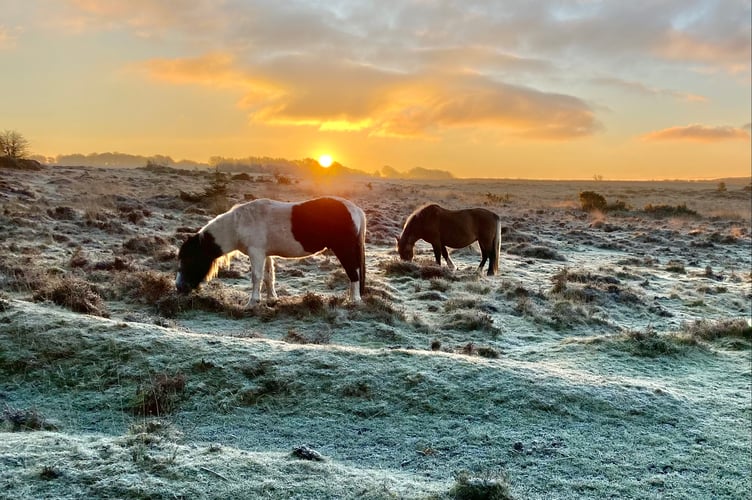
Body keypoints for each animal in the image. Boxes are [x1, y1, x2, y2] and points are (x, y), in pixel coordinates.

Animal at [176, 197, 364, 302]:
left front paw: (252, 302)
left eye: (189, 259)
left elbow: (256, 277)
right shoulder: (265, 254)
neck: (238, 224)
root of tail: (355, 209)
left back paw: (354, 301)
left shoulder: (256, 252)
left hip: (343, 249)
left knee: (353, 273)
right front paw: (271, 299)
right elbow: (268, 277)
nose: (179, 287)